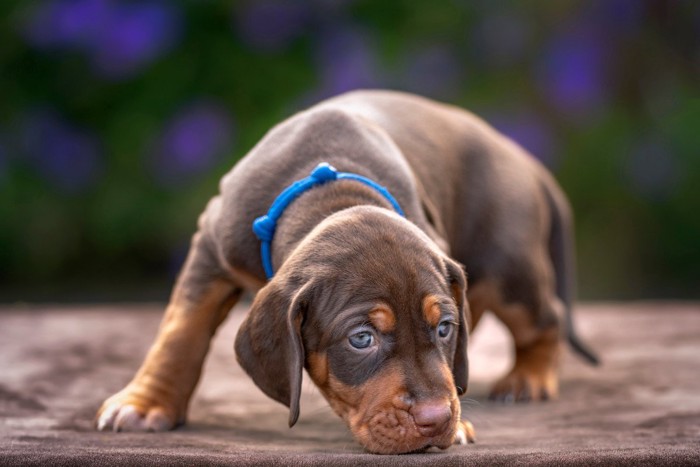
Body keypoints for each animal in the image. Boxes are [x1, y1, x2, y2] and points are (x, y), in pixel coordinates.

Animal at [94, 89, 596, 456]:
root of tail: (518, 155)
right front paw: (146, 403)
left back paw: (528, 377)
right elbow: (181, 331)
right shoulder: (212, 247)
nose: (437, 419)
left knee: (544, 317)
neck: (332, 192)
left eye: (444, 329)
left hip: (510, 270)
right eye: (361, 339)